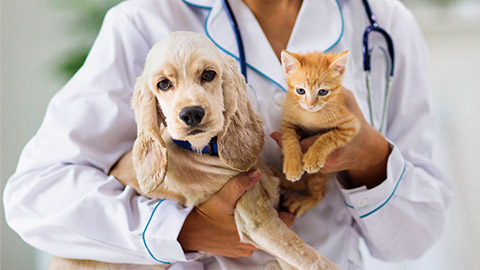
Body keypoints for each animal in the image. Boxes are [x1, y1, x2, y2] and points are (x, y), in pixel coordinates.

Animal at [280, 49, 358, 216]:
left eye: (323, 92)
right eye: (300, 90)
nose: (311, 105)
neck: (311, 115)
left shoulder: (351, 124)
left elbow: (329, 136)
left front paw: (313, 157)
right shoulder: (288, 121)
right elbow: (289, 140)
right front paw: (292, 165)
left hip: (319, 175)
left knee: (319, 195)